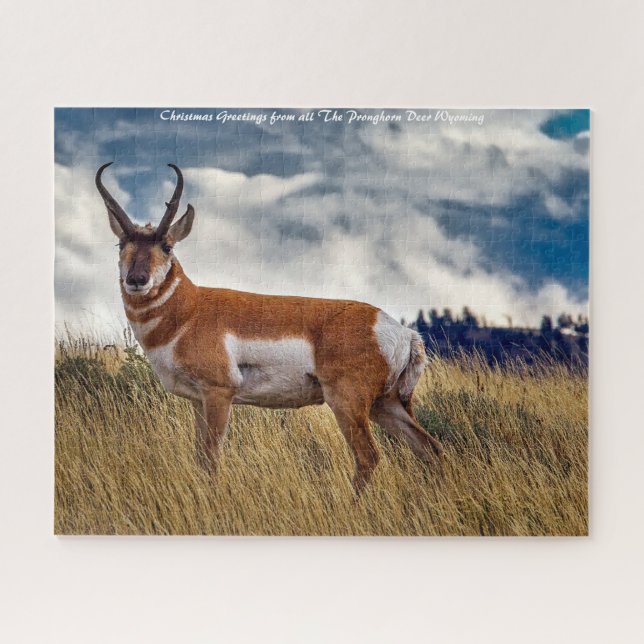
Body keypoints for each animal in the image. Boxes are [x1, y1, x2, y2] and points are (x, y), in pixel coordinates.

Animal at [96, 162, 444, 491]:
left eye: (167, 246)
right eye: (120, 244)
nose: (136, 279)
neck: (191, 309)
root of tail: (403, 333)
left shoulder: (218, 393)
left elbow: (210, 458)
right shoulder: (197, 400)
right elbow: (199, 458)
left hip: (347, 402)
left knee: (369, 456)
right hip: (386, 405)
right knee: (429, 448)